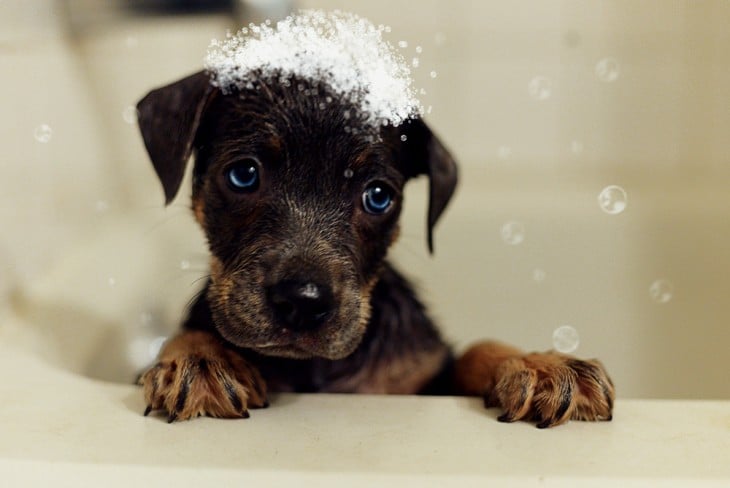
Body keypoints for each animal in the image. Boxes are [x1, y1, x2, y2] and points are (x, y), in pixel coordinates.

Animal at [134, 18, 612, 428]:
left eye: (378, 196)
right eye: (243, 175)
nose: (303, 302)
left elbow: (475, 350)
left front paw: (540, 364)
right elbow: (188, 335)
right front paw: (201, 359)